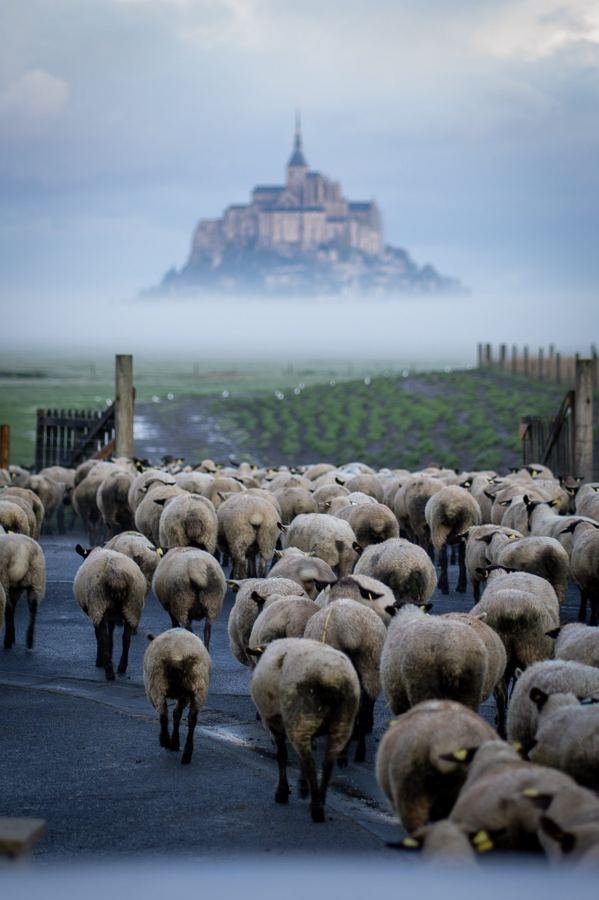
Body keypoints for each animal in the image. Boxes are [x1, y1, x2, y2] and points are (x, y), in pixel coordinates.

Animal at [73, 546, 146, 679]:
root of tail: (116, 577)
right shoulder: (111, 614)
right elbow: (111, 631)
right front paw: (110, 655)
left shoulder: (96, 612)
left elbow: (100, 634)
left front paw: (101, 660)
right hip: (132, 606)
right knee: (126, 638)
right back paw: (121, 667)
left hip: (99, 603)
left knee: (104, 637)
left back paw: (108, 671)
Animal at [143, 628, 211, 765]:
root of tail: (178, 653)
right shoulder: (184, 695)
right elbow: (177, 714)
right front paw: (175, 742)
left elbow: (173, 714)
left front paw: (172, 742)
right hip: (198, 688)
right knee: (192, 720)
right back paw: (187, 753)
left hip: (156, 683)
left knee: (163, 712)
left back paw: (164, 740)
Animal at [249, 637, 360, 822]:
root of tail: (331, 679)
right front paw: (302, 787)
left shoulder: (274, 724)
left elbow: (282, 757)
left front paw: (283, 792)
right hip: (341, 724)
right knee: (327, 764)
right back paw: (319, 801)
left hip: (301, 718)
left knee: (310, 763)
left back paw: (316, 809)